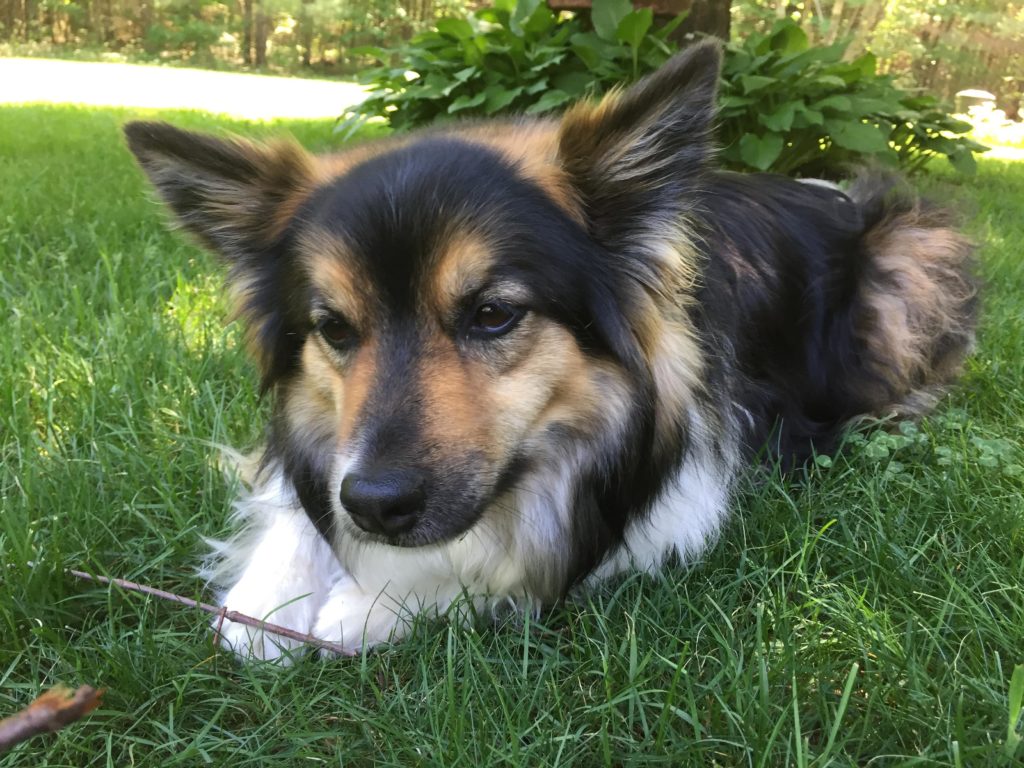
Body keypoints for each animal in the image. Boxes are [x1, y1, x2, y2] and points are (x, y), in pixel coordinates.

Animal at [125, 40, 974, 663]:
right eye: (334, 328)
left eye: (494, 314)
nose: (373, 506)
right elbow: (289, 518)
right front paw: (269, 598)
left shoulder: (671, 505)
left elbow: (509, 560)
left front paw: (369, 605)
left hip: (913, 268)